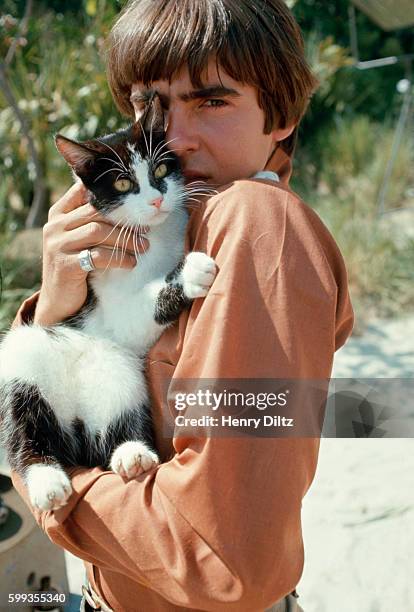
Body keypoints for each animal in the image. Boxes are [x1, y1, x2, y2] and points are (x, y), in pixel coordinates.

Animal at [0, 93, 218, 510]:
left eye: (161, 167)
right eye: (122, 181)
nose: (156, 199)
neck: (152, 235)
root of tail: (71, 422)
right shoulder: (111, 304)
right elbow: (138, 307)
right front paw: (190, 271)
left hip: (119, 372)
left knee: (113, 426)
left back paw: (131, 453)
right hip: (24, 355)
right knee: (23, 426)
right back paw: (45, 479)